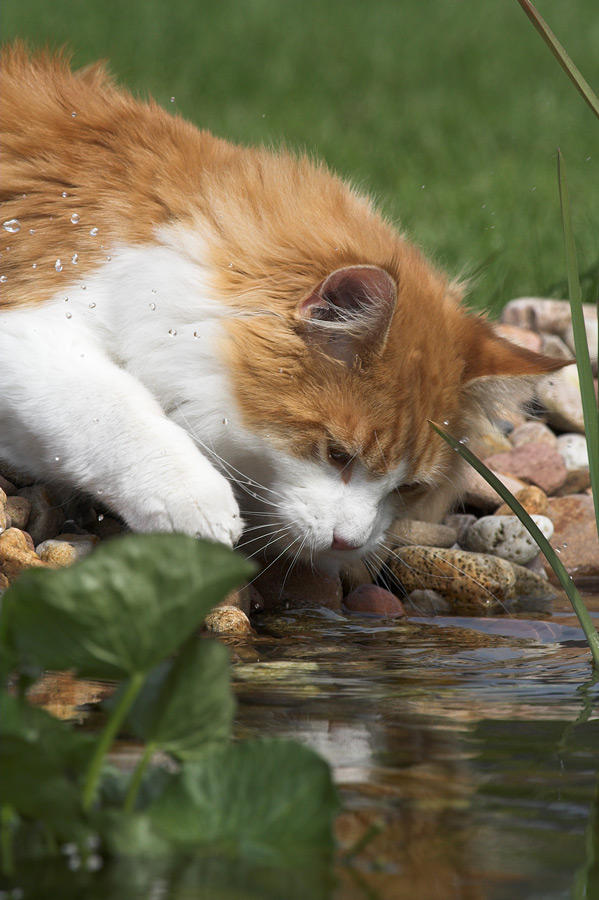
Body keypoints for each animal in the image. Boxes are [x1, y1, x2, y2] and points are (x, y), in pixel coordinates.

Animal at [0, 45, 564, 572]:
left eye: (408, 489)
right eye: (338, 454)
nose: (349, 543)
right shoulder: (40, 313)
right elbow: (110, 408)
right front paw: (196, 504)